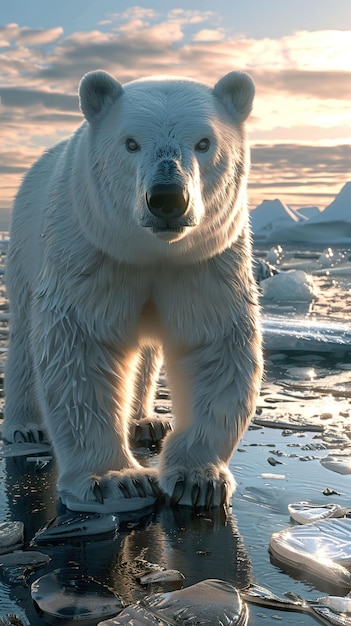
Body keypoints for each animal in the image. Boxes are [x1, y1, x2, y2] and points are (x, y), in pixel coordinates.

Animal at [2, 72, 262, 512]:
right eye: (131, 142)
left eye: (204, 142)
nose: (168, 198)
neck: (151, 250)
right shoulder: (91, 253)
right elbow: (80, 347)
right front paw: (116, 481)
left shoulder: (204, 261)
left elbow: (213, 342)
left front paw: (199, 479)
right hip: (24, 243)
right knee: (23, 336)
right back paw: (25, 427)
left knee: (145, 353)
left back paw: (146, 421)